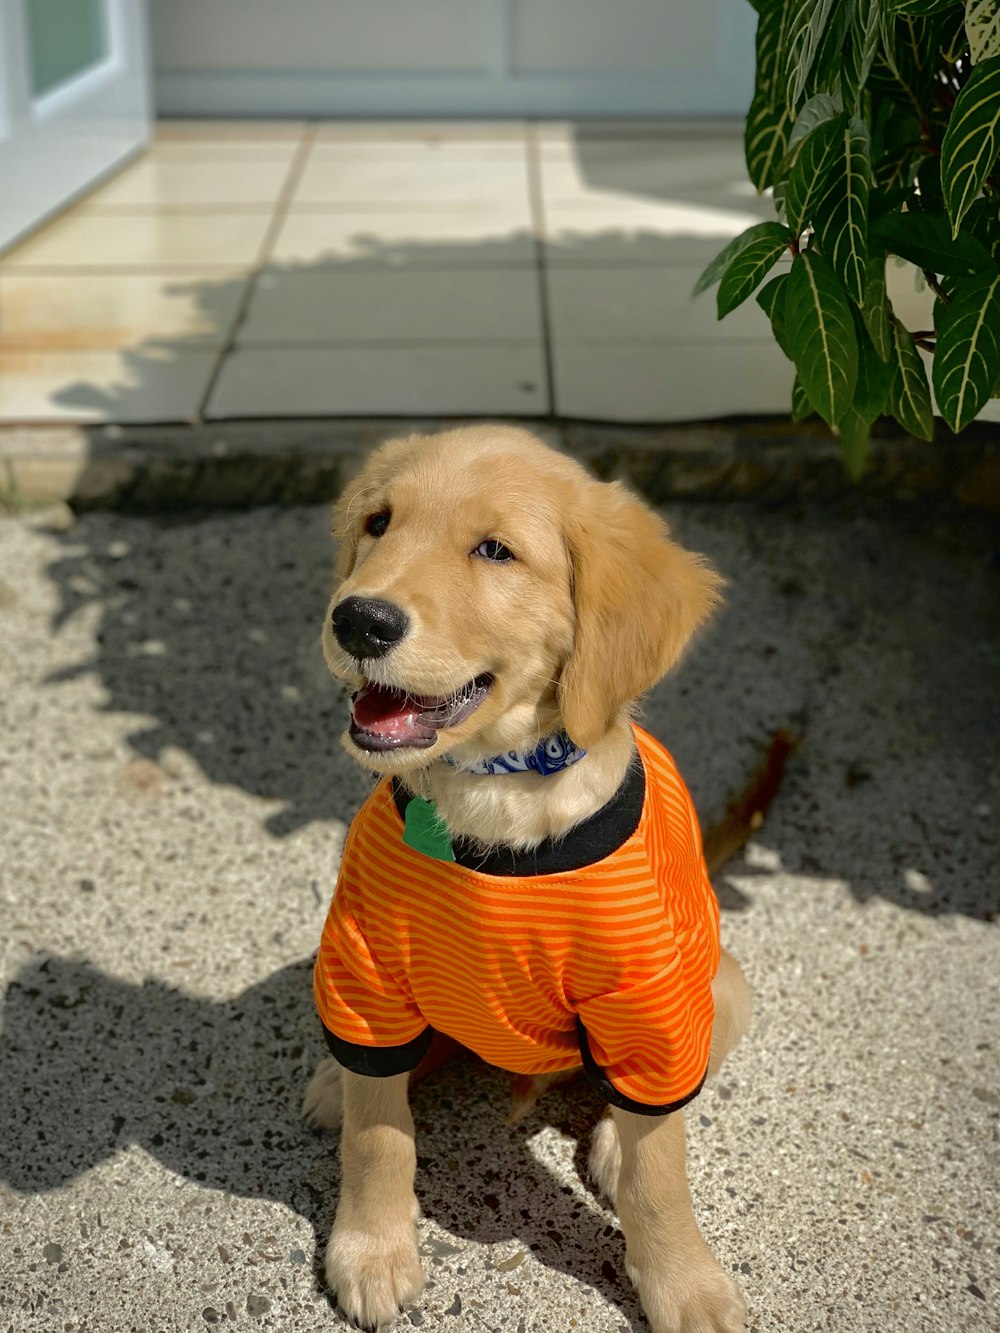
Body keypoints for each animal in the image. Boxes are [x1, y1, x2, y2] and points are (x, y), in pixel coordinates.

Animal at [308, 426, 752, 1333]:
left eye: (494, 551)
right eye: (379, 523)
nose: (359, 618)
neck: (492, 800)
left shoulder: (647, 1002)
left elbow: (660, 1175)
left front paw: (685, 1283)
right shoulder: (365, 968)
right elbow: (378, 1135)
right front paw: (371, 1247)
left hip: (719, 984)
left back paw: (614, 1139)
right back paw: (338, 1079)